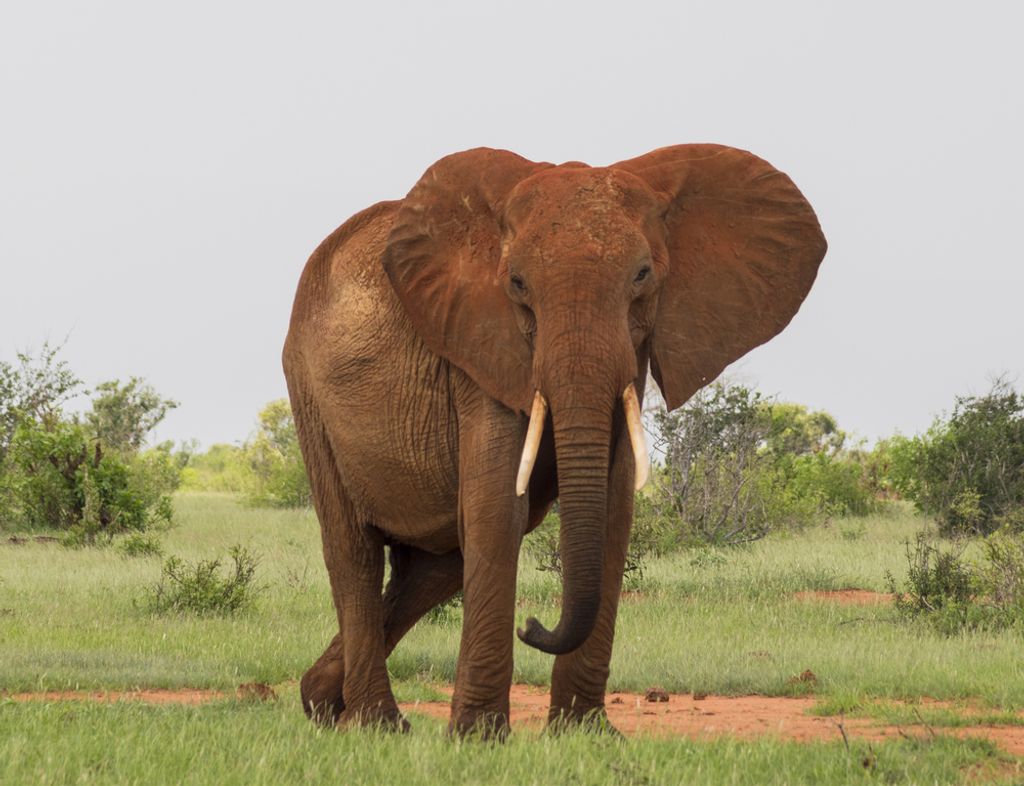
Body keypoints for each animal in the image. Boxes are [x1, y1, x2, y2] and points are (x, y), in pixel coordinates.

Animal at [283, 144, 826, 737]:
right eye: (518, 284)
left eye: (642, 275)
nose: (532, 624)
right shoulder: (479, 346)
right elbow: (500, 508)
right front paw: (478, 738)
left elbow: (612, 509)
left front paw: (585, 735)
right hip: (308, 391)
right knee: (354, 551)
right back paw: (376, 725)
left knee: (434, 568)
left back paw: (321, 702)